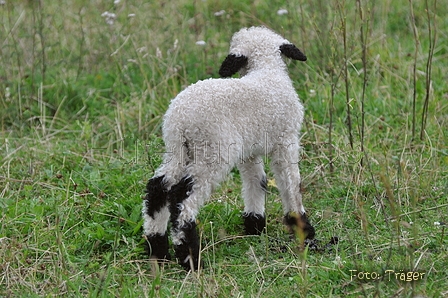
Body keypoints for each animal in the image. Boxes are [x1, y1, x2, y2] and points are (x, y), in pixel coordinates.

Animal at [143, 26, 316, 272]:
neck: (267, 71)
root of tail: (181, 118)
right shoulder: (286, 140)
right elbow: (290, 183)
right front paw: (303, 228)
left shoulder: (249, 151)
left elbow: (256, 182)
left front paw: (255, 226)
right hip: (212, 151)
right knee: (182, 199)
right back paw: (190, 258)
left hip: (178, 149)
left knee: (157, 188)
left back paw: (157, 248)